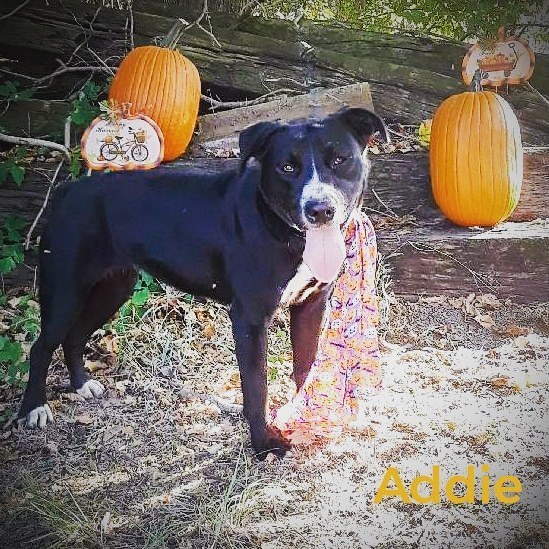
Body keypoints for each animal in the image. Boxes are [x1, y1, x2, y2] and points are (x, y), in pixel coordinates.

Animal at [19, 107, 388, 458]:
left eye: (339, 159)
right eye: (286, 167)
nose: (320, 209)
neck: (280, 230)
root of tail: (68, 189)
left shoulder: (310, 306)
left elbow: (305, 368)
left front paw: (304, 418)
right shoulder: (249, 319)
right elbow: (257, 387)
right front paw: (263, 444)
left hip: (113, 289)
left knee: (74, 337)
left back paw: (81, 385)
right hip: (65, 289)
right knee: (42, 346)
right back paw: (33, 408)